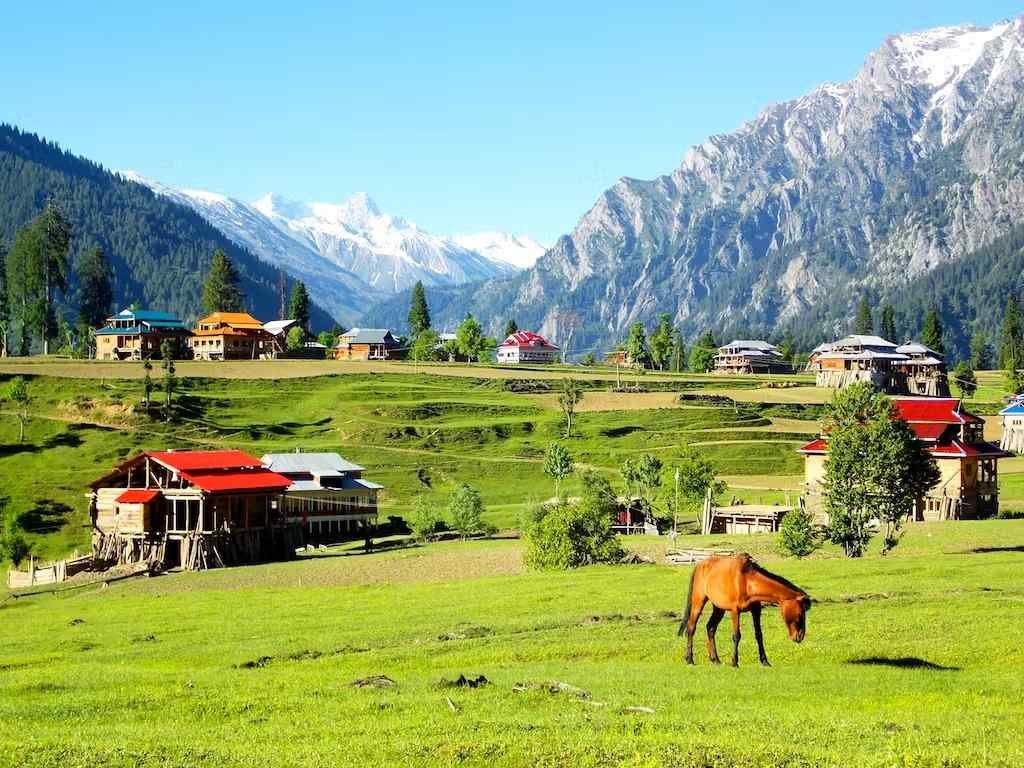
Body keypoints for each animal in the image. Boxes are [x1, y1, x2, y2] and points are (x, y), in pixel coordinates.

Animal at [675, 552, 811, 667]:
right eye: (800, 613)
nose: (799, 636)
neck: (747, 581)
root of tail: (699, 565)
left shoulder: (756, 610)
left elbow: (759, 635)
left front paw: (765, 661)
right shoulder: (735, 611)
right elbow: (736, 635)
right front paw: (734, 662)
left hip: (719, 608)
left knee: (710, 628)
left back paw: (715, 660)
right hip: (698, 603)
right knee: (691, 628)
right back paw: (689, 659)